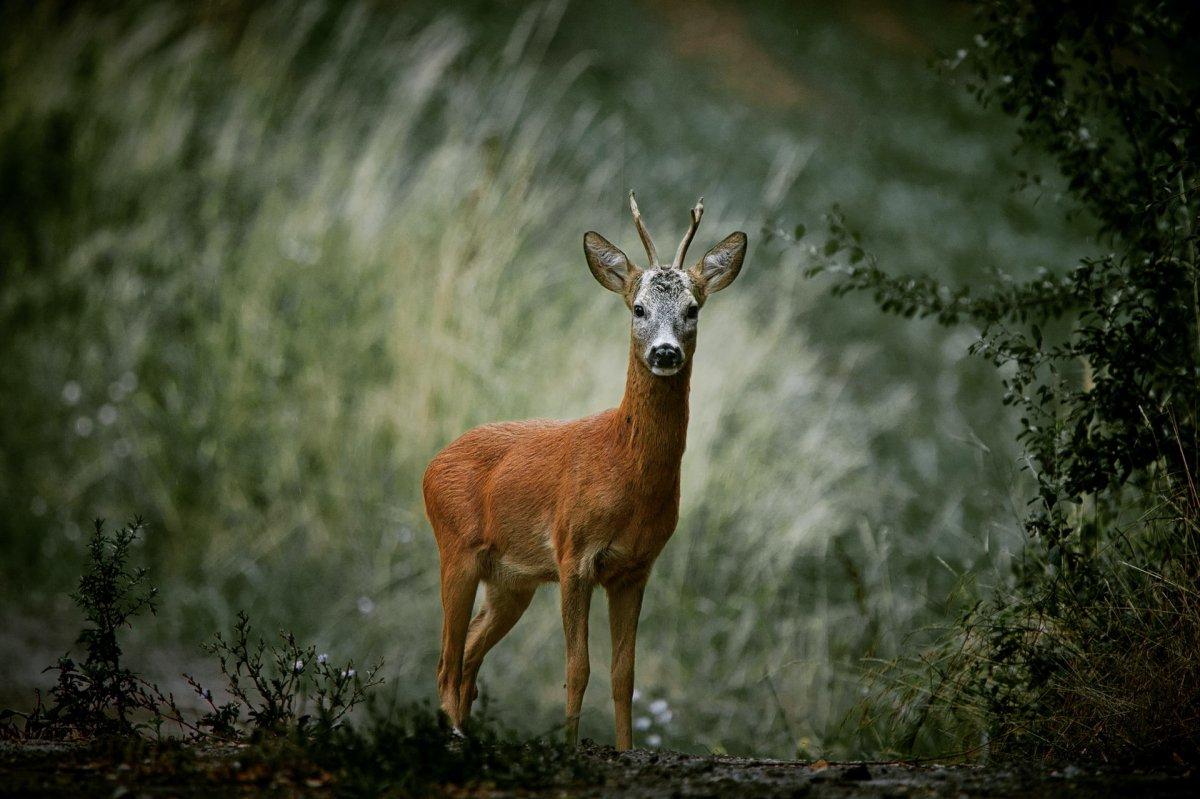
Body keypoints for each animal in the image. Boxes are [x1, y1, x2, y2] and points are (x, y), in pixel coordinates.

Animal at [420, 193, 739, 748]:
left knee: (469, 658)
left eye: (693, 308)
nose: (665, 352)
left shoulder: (634, 568)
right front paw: (569, 748)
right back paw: (456, 738)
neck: (625, 467)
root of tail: (431, 465)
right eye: (638, 307)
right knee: (446, 661)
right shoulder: (573, 554)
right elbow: (577, 669)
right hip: (455, 549)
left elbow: (623, 674)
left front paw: (627, 748)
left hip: (511, 581)